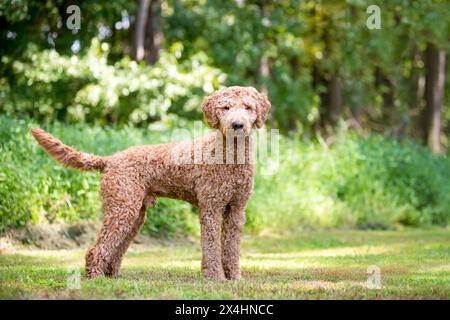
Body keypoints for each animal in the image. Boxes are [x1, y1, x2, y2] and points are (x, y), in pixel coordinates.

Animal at [31, 87, 272, 280]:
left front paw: (235, 277)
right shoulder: (211, 208)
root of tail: (109, 160)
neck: (229, 157)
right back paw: (96, 277)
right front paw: (216, 278)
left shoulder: (236, 210)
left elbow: (232, 249)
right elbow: (212, 247)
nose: (237, 124)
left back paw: (112, 274)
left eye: (248, 107)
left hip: (134, 213)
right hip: (122, 208)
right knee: (97, 248)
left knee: (117, 247)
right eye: (225, 107)